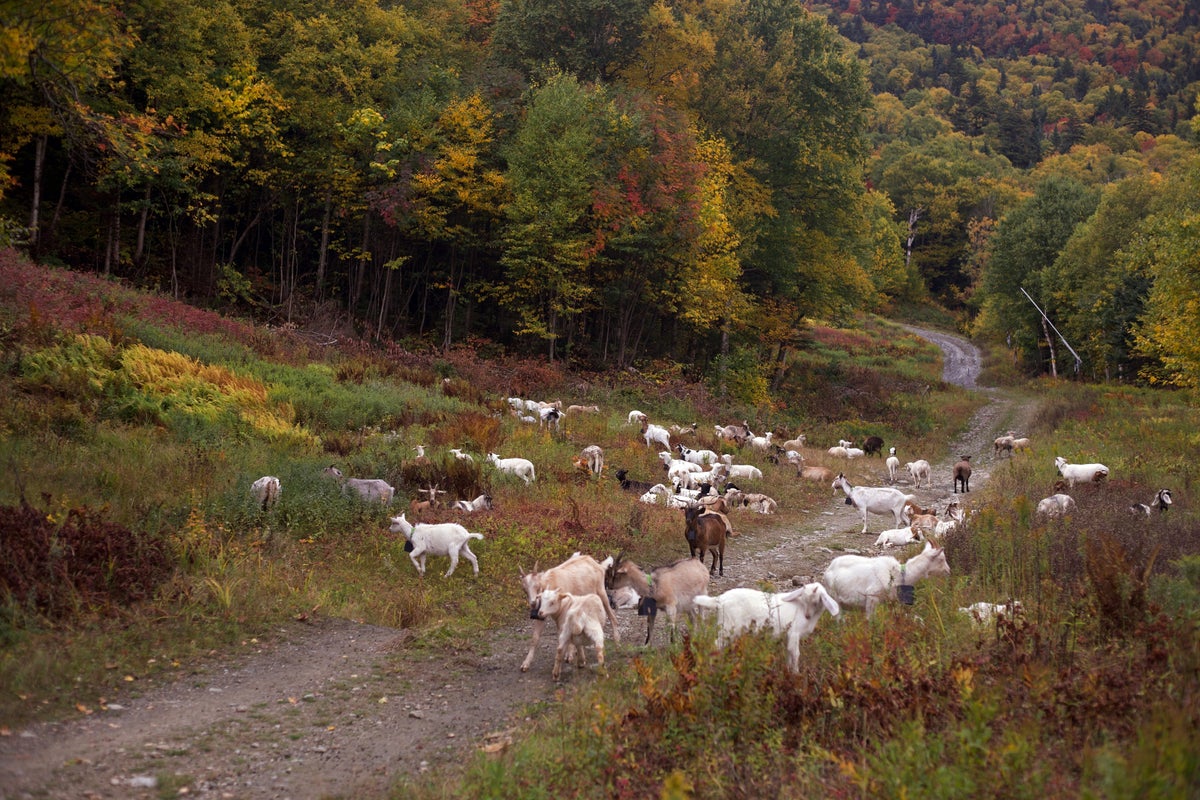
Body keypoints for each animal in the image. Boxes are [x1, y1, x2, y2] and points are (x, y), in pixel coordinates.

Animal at [693, 584, 840, 672]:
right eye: (804, 599)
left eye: (816, 602)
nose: (807, 616)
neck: (801, 608)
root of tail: (719, 599)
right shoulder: (794, 633)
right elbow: (795, 654)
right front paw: (796, 674)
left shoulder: (788, 635)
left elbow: (788, 651)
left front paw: (787, 670)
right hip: (729, 627)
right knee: (715, 645)